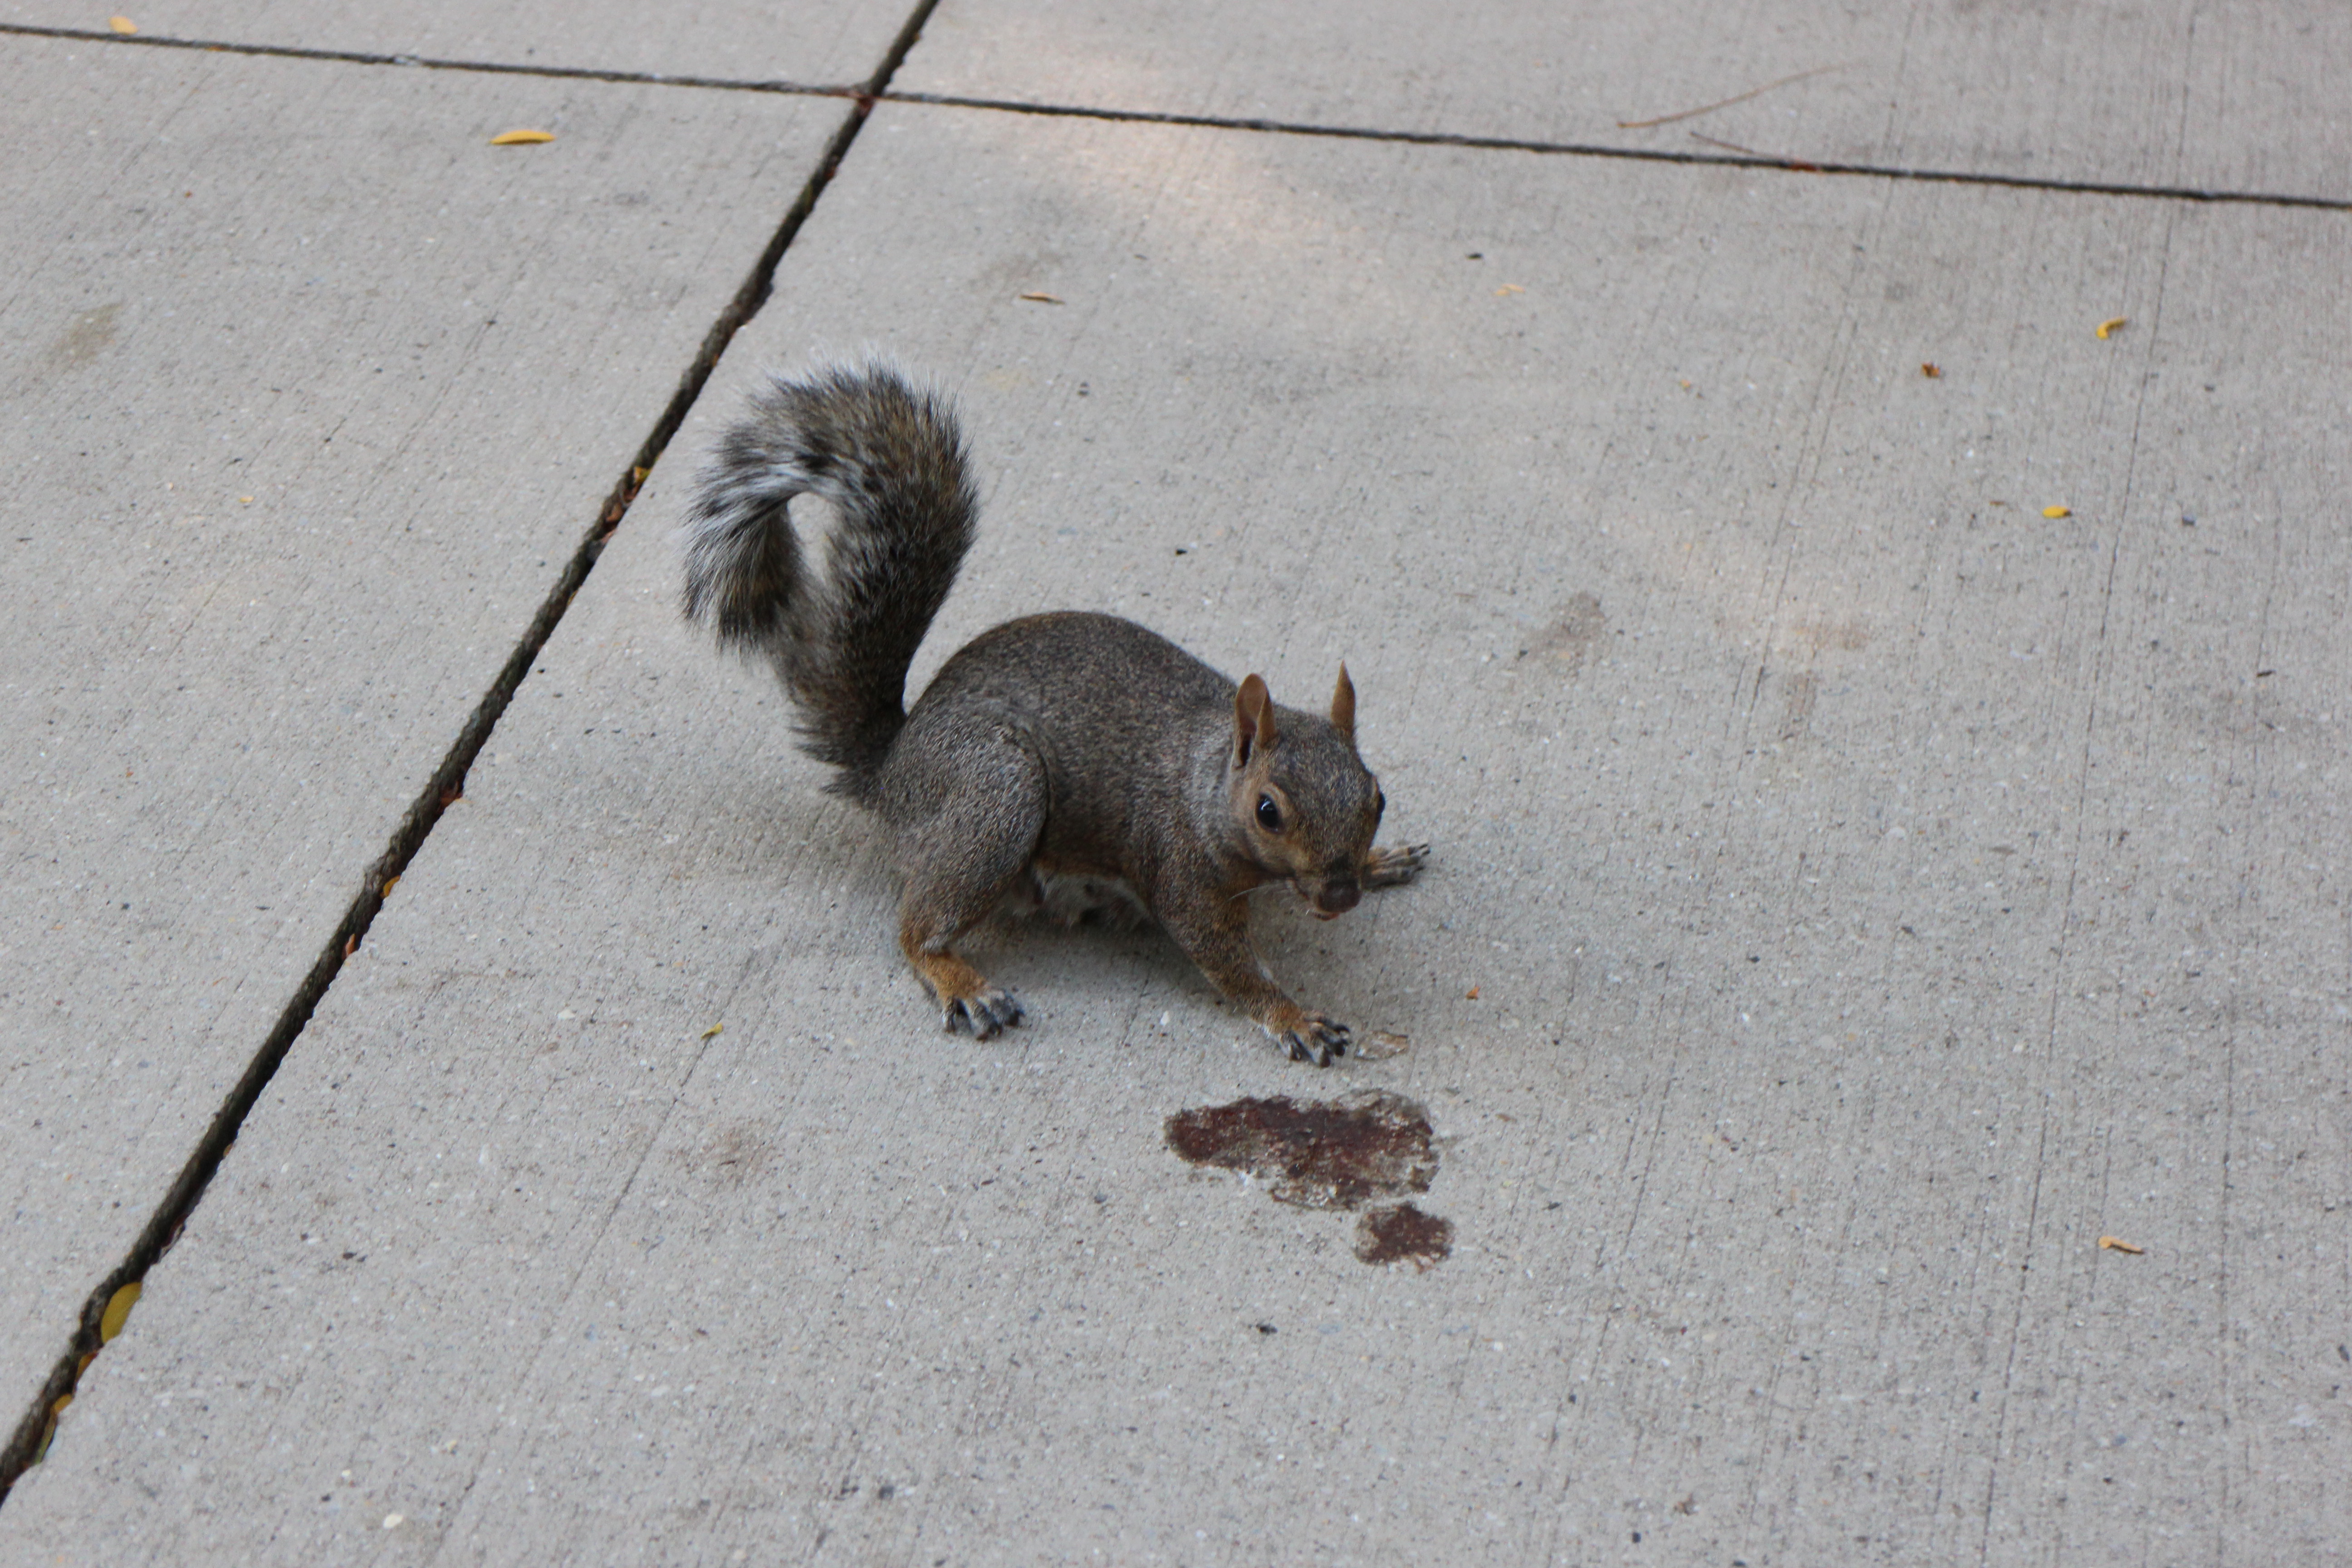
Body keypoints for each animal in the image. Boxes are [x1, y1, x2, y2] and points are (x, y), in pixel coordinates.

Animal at [680, 361, 1426, 1066]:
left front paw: (1381, 861)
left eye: (1378, 796)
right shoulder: (1179, 869)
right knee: (917, 926)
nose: (1340, 896)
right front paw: (1293, 1017)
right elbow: (1225, 959)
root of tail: (892, 772)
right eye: (1268, 811)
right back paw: (961, 982)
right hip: (996, 793)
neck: (1208, 784)